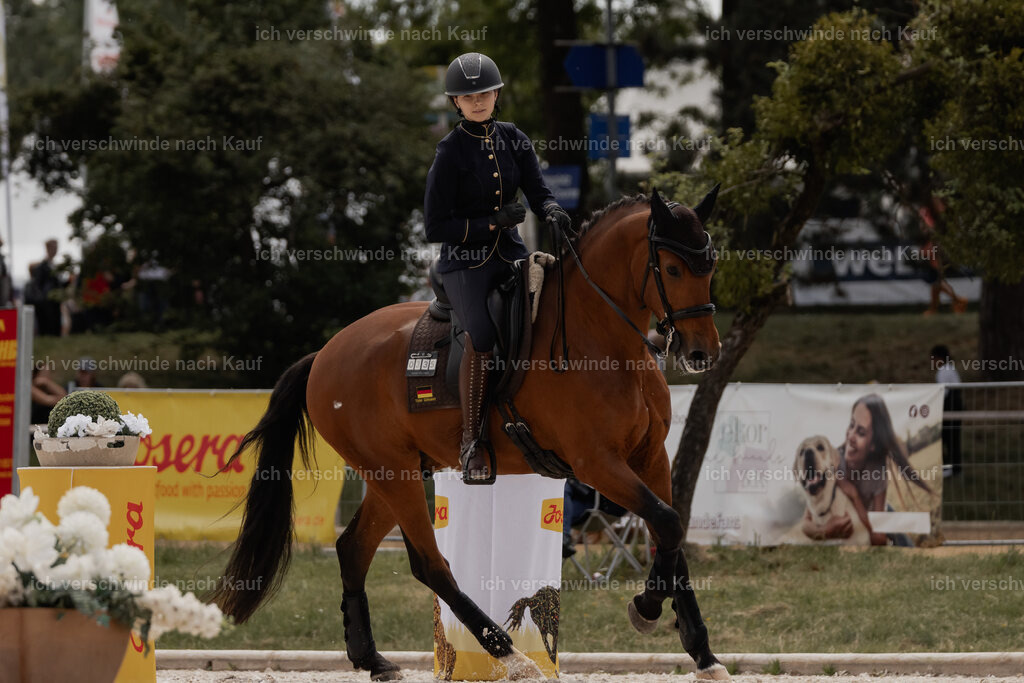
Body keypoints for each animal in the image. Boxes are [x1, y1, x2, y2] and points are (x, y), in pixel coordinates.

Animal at [212, 187, 730, 681]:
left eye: (710, 265)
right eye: (671, 268)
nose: (702, 353)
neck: (603, 339)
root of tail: (324, 353)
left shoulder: (650, 457)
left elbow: (671, 532)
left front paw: (703, 654)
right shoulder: (597, 463)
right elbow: (666, 522)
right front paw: (646, 607)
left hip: (393, 472)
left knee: (353, 548)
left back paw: (373, 659)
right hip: (395, 474)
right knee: (429, 564)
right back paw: (509, 655)